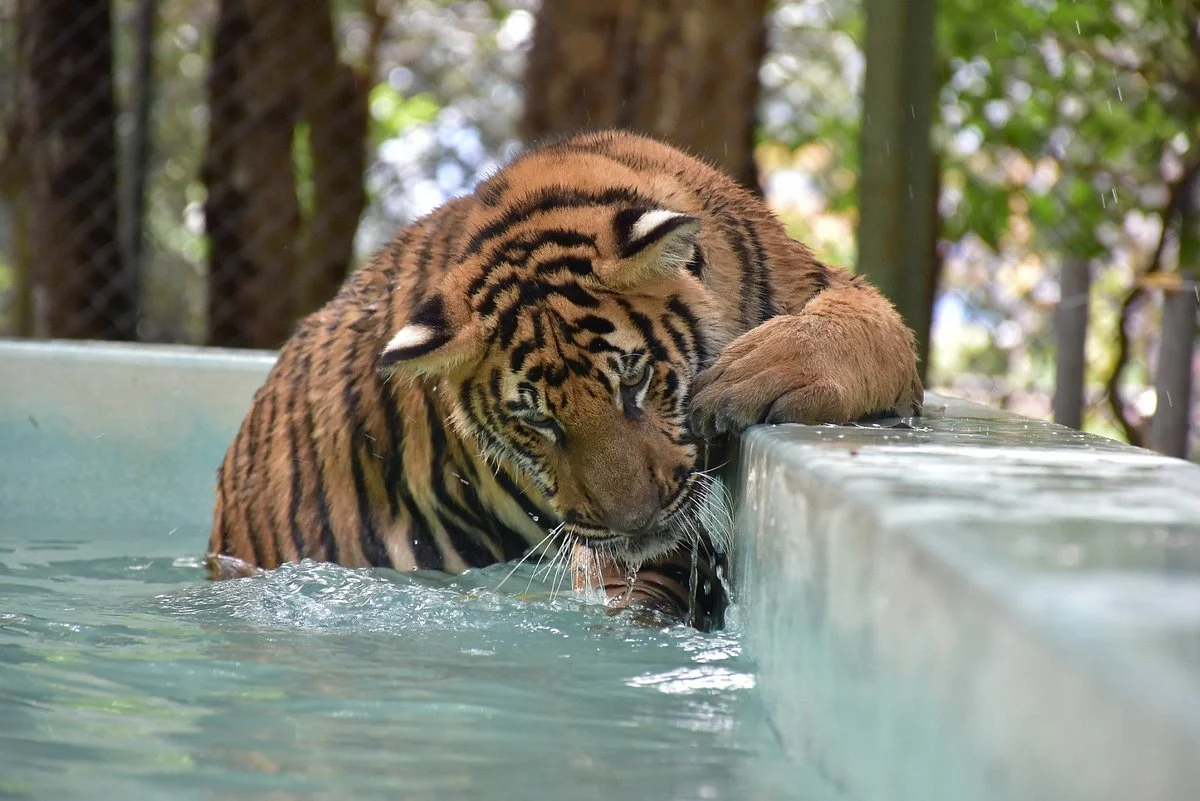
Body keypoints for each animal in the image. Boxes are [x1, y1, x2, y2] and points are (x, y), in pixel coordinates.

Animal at [208, 129, 923, 631]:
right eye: (538, 421)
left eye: (635, 382)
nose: (636, 522)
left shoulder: (826, 285)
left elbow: (866, 326)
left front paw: (748, 375)